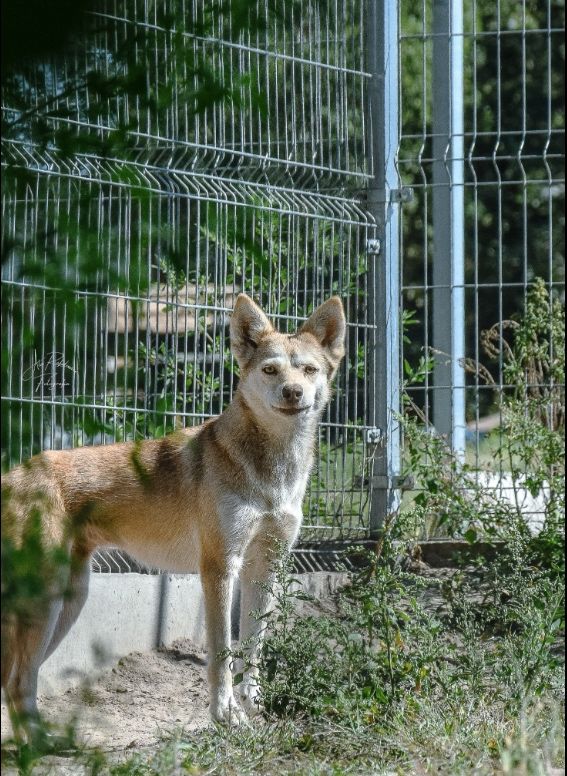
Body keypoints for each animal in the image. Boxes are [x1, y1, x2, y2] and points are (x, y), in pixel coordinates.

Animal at [1, 292, 346, 740]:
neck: (273, 474)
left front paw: (253, 706)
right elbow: (221, 654)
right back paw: (41, 745)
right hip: (46, 604)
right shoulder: (219, 569)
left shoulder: (267, 567)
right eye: (270, 370)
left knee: (19, 682)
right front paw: (226, 717)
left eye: (308, 369)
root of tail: (11, 475)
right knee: (17, 681)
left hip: (68, 601)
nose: (293, 392)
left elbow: (253, 649)